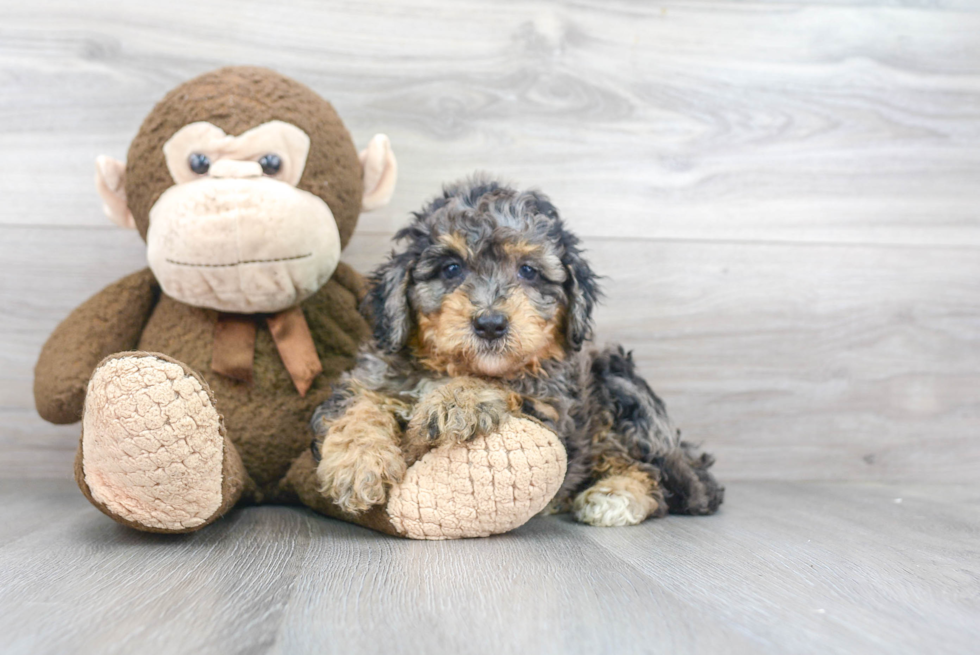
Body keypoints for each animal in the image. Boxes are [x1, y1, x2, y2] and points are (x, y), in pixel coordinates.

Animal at [310, 176, 724, 528]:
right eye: (451, 268)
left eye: (528, 270)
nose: (491, 324)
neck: (447, 368)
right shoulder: (373, 375)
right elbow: (358, 404)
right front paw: (357, 466)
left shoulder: (552, 406)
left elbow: (507, 385)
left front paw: (458, 400)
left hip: (618, 383)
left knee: (661, 478)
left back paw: (613, 497)